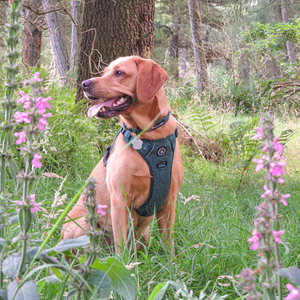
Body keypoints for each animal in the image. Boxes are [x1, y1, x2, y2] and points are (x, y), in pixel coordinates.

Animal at [61, 56, 184, 253]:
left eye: (119, 72)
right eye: (104, 72)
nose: (84, 83)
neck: (149, 136)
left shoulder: (169, 201)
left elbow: (168, 245)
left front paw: (171, 261)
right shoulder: (119, 199)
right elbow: (121, 249)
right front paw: (124, 262)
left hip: (145, 234)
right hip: (83, 225)